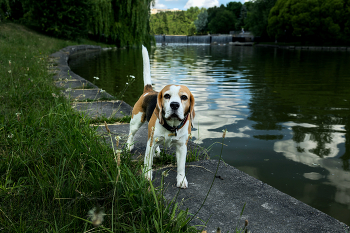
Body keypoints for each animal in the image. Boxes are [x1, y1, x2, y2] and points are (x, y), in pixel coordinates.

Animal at [127, 46, 196, 189]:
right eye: (167, 96)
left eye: (184, 97)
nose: (174, 105)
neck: (172, 125)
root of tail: (149, 91)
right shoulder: (151, 143)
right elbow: (147, 162)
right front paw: (147, 176)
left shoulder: (182, 146)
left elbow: (181, 166)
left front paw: (181, 180)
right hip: (136, 121)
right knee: (131, 133)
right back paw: (129, 145)